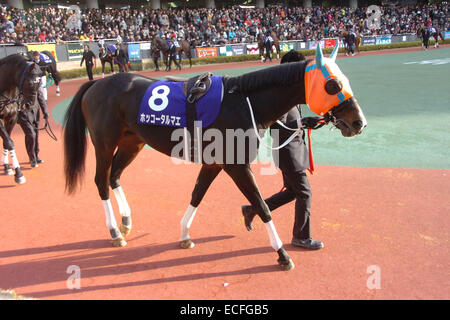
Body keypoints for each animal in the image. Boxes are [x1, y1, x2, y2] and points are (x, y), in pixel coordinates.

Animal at [0, 54, 45, 184]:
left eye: (39, 84)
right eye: (30, 83)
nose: (29, 104)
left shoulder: (11, 118)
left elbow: (6, 142)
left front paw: (9, 168)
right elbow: (9, 143)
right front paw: (19, 174)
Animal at [62, 42, 366, 270]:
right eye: (333, 85)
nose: (358, 122)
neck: (244, 102)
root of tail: (95, 84)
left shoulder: (215, 163)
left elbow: (198, 194)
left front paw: (185, 234)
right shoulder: (236, 165)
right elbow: (262, 206)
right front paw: (282, 254)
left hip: (132, 142)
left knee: (114, 176)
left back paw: (125, 222)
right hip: (104, 143)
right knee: (101, 181)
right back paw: (114, 232)